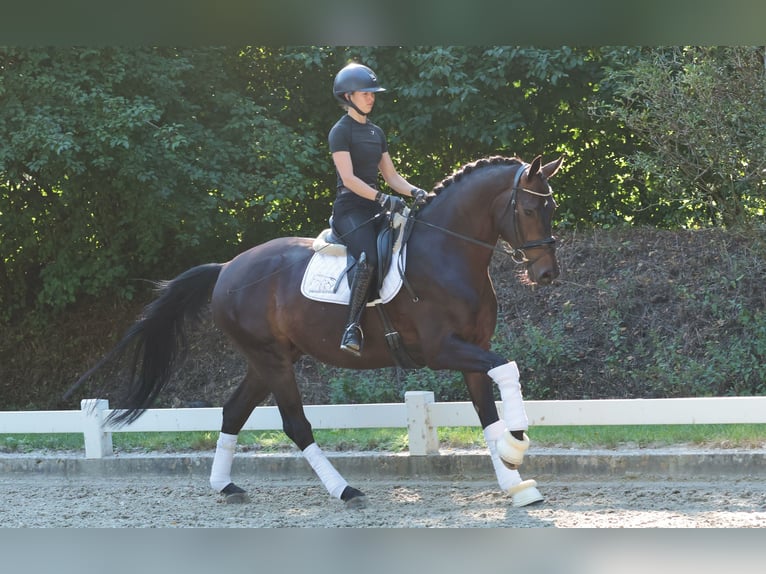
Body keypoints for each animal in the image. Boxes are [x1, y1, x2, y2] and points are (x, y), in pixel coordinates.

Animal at [66, 154, 563, 509]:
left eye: (551, 207)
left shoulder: (474, 347)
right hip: (272, 361)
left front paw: (516, 480)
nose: (547, 274)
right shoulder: (443, 349)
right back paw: (345, 491)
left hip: (269, 359)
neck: (447, 252)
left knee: (233, 411)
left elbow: (487, 411)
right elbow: (508, 370)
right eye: (530, 208)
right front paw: (517, 444)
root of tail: (227, 268)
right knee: (295, 424)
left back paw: (225, 486)